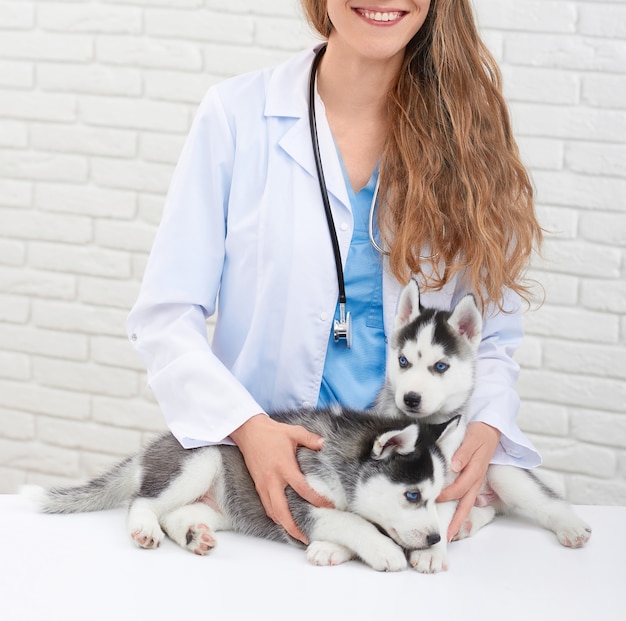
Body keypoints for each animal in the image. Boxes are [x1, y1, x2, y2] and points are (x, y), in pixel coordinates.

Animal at [372, 280, 592, 572]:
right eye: (403, 361)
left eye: (440, 366)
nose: (410, 398)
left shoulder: (453, 481)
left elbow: (439, 516)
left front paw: (431, 553)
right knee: (490, 511)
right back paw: (467, 523)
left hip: (501, 471)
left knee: (547, 502)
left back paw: (571, 527)